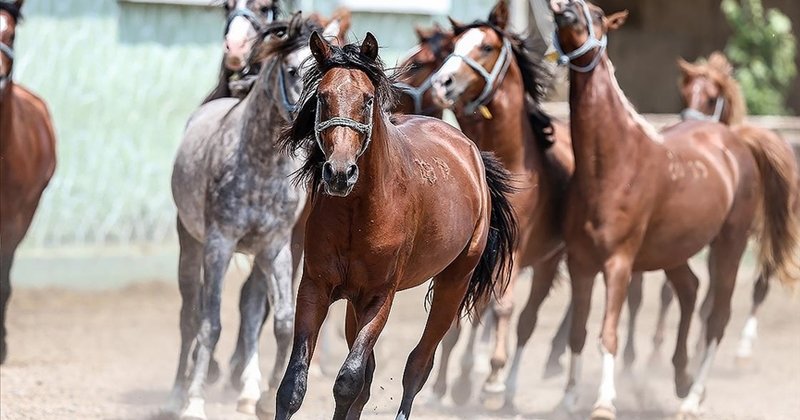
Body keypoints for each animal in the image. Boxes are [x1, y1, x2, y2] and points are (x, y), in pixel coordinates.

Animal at [276, 32, 520, 420]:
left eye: (367, 99)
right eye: (323, 98)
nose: (340, 173)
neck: (360, 212)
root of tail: (470, 152)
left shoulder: (380, 297)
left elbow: (348, 380)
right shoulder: (316, 287)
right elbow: (295, 385)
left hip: (453, 285)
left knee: (418, 366)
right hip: (354, 302)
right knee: (370, 377)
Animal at [428, 0, 580, 406]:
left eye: (486, 47)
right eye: (453, 45)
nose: (441, 83)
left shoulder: (516, 248)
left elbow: (504, 308)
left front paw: (493, 379)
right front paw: (443, 385)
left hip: (549, 260)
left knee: (528, 320)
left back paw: (506, 386)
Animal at [552, 1, 800, 418]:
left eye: (598, 15)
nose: (564, 11)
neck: (610, 165)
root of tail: (736, 142)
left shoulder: (619, 262)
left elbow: (608, 333)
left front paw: (604, 402)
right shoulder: (581, 262)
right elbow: (578, 331)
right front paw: (567, 399)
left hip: (729, 244)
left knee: (717, 318)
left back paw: (693, 397)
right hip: (674, 251)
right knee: (690, 289)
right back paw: (681, 377)